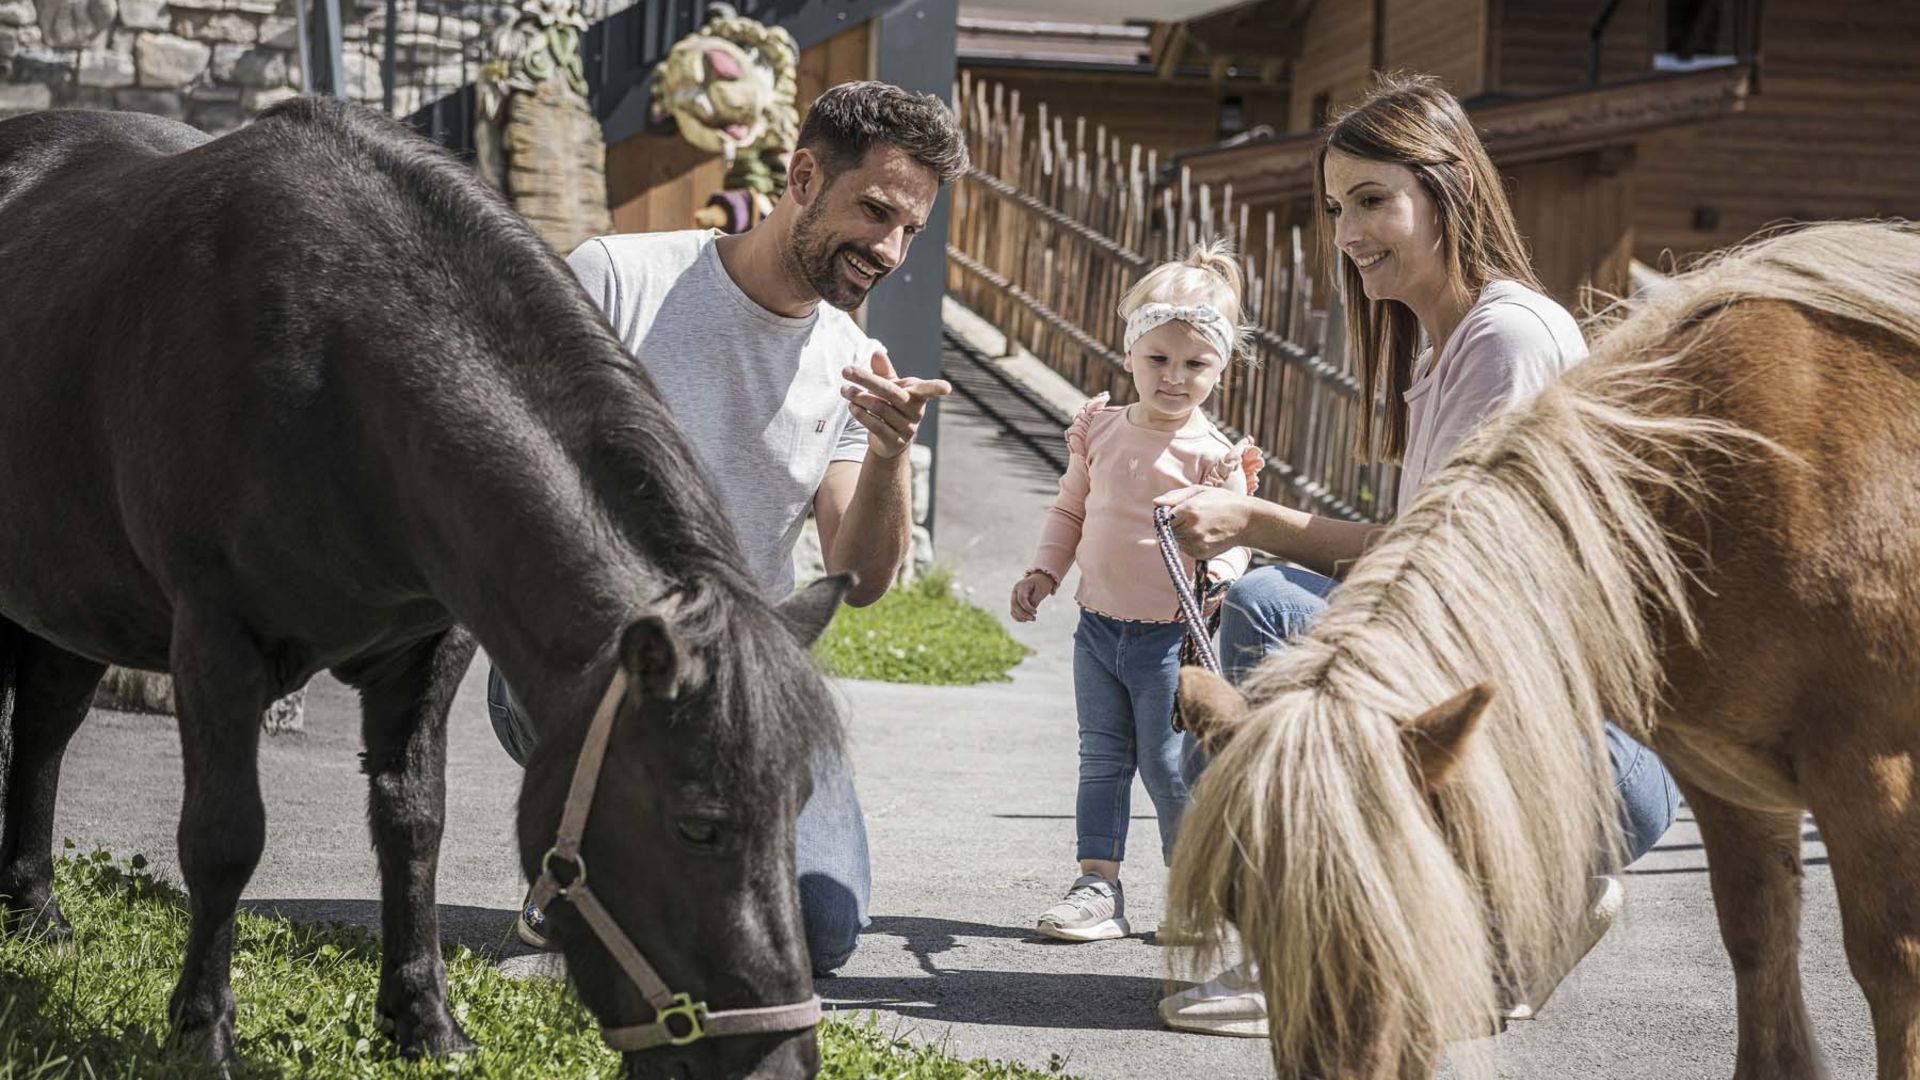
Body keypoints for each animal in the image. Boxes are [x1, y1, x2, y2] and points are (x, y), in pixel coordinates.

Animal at [1, 96, 840, 1068]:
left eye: (799, 806)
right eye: (698, 824)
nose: (781, 1062)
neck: (336, 381)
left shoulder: (430, 649)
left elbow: (414, 824)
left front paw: (425, 1019)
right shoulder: (215, 641)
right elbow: (223, 838)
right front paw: (202, 1033)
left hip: (72, 595)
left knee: (47, 722)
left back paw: (34, 907)